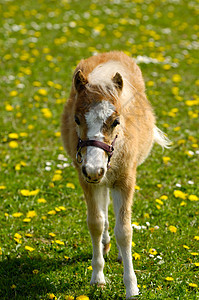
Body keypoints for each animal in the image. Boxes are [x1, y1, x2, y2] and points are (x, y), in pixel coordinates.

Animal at [61, 51, 169, 298]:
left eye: (115, 121)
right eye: (76, 119)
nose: (94, 169)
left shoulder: (125, 180)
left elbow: (125, 231)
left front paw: (132, 287)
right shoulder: (86, 179)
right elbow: (95, 223)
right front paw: (98, 278)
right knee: (103, 209)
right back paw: (105, 245)